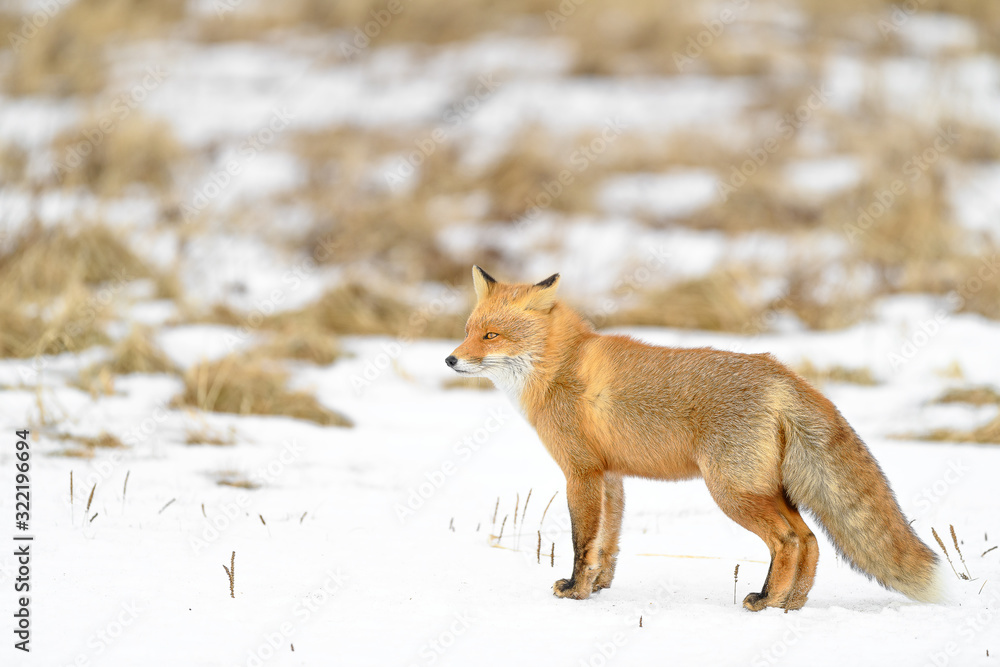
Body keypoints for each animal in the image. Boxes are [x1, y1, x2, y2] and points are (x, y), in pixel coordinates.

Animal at [448, 266, 944, 612]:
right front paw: (599, 586)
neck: (560, 366)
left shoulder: (581, 472)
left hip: (732, 491)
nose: (450, 359)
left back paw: (766, 600)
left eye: (491, 335)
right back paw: (790, 603)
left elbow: (581, 540)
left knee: (789, 540)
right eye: (469, 330)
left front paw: (574, 590)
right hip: (767, 489)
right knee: (810, 540)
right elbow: (608, 542)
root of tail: (781, 372)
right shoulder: (611, 475)